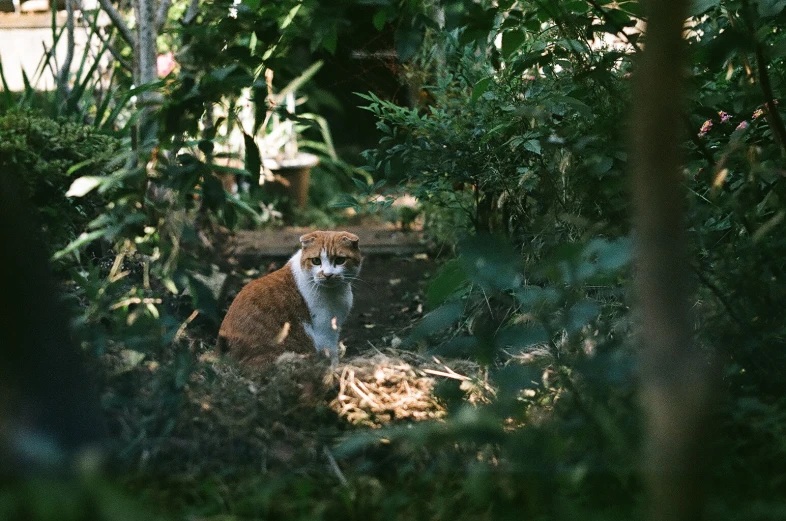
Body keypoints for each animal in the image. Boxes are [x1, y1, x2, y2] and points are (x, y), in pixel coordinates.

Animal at [216, 230, 360, 368]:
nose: (327, 274)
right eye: (316, 261)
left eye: (340, 260)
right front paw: (333, 371)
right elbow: (331, 355)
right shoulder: (325, 329)